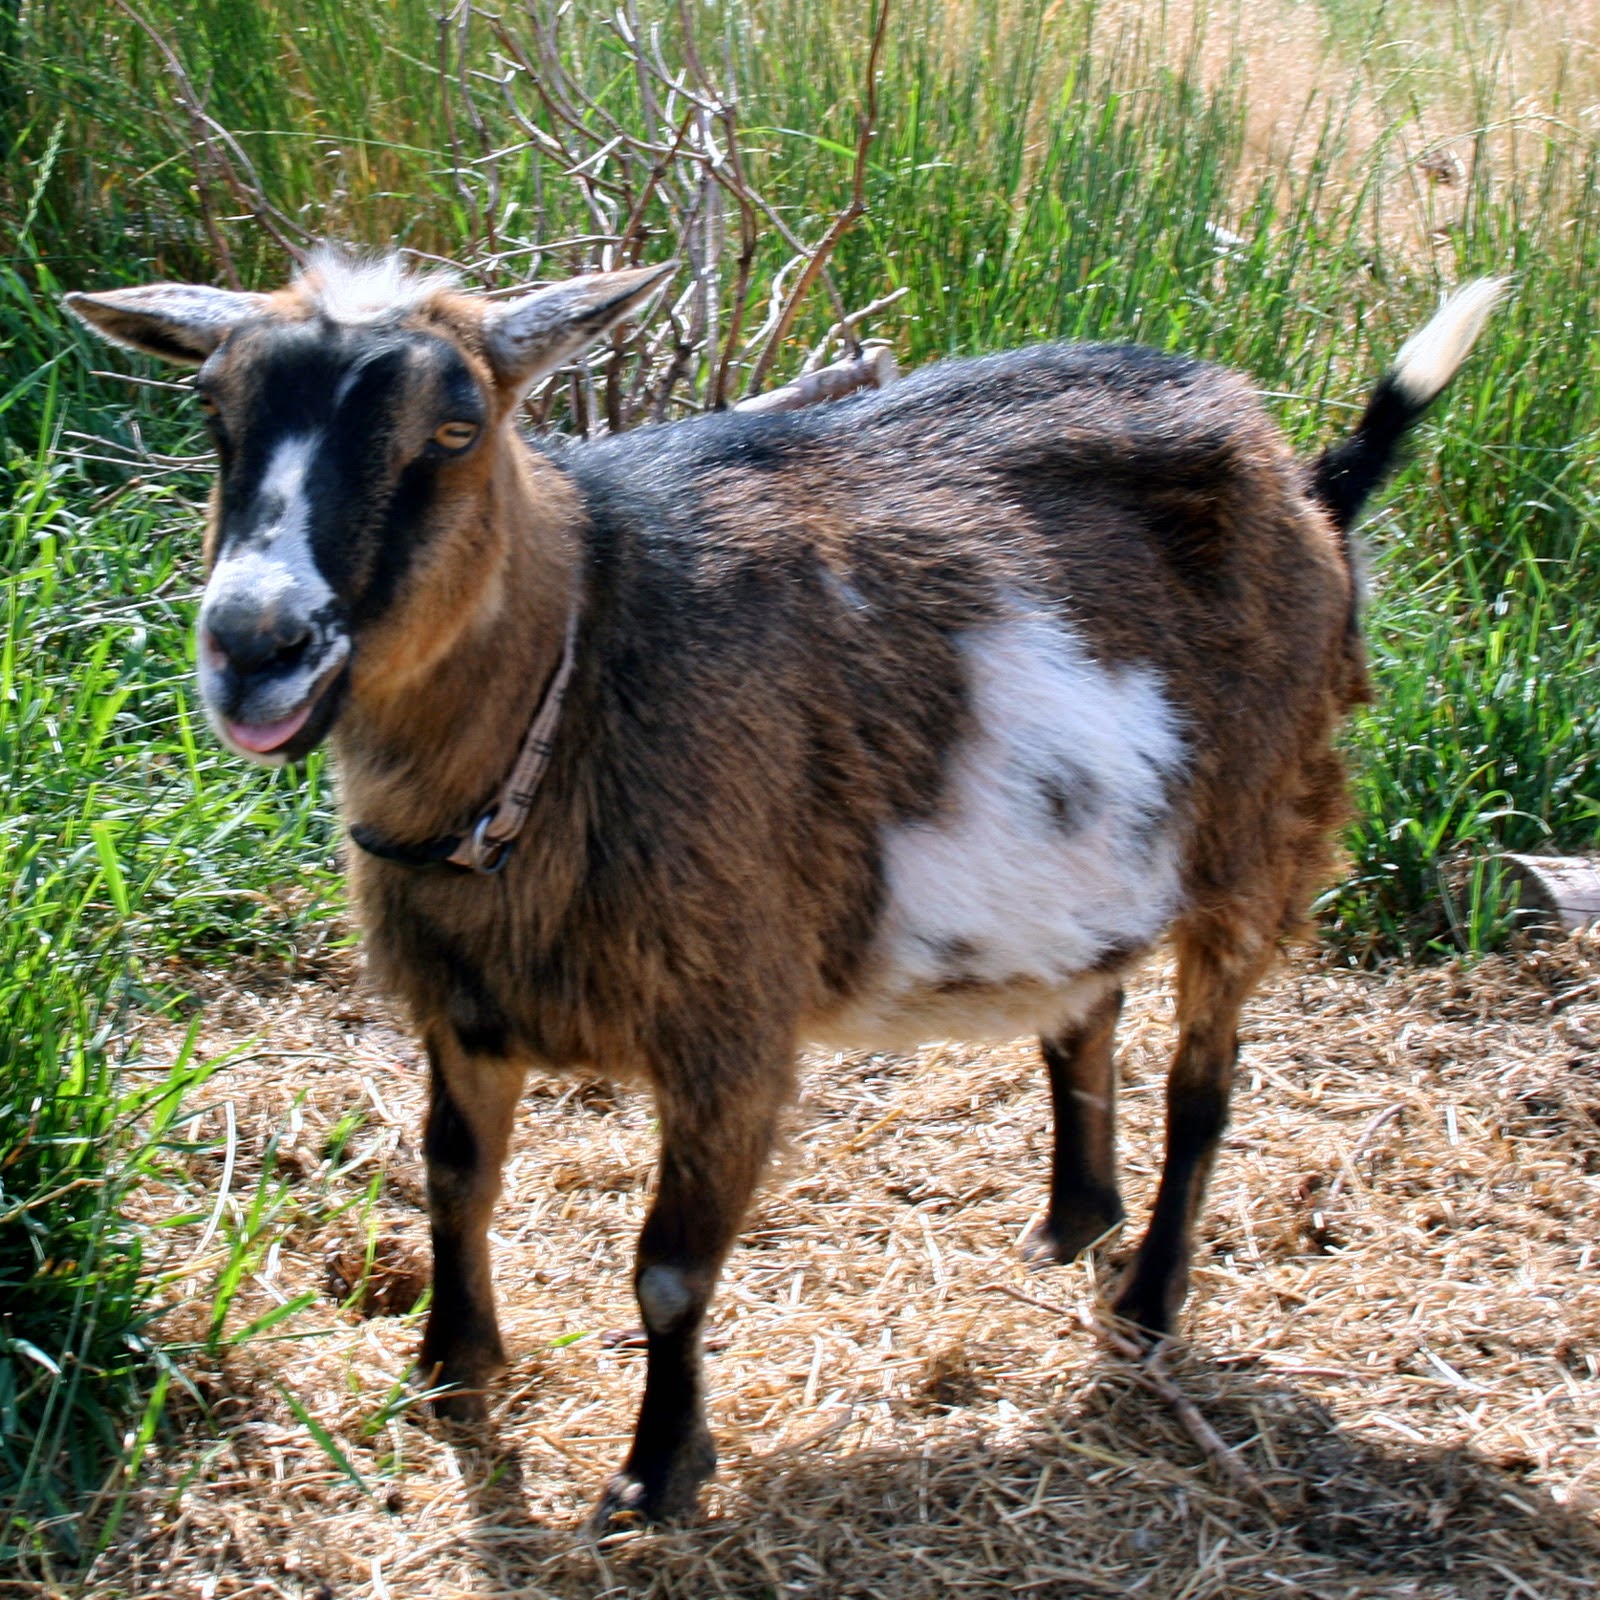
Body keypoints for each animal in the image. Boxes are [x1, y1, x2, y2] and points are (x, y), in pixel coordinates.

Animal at [67, 255, 1501, 1525]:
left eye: (458, 428)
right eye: (216, 415)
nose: (256, 641)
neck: (584, 668)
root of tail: (1307, 483)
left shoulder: (730, 1026)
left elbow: (666, 1272)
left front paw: (656, 1475)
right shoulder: (464, 1010)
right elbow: (454, 1183)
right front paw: (450, 1374)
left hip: (1260, 836)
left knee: (1206, 1089)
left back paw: (1146, 1300)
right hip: (1096, 859)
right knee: (1083, 1016)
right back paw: (1068, 1222)